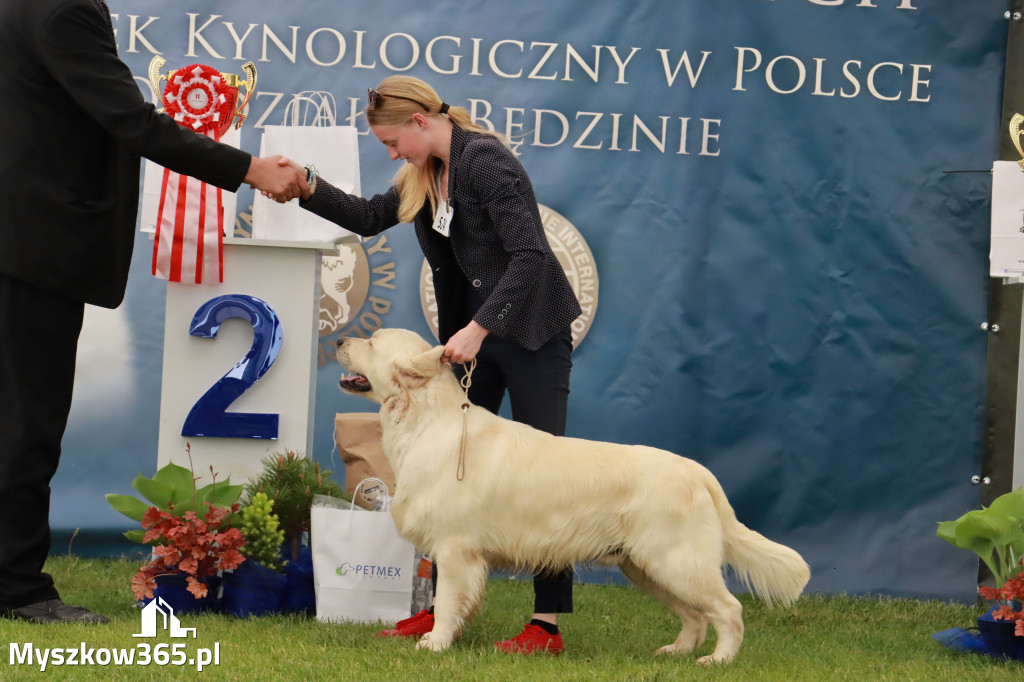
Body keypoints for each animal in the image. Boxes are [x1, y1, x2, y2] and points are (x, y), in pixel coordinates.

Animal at [335, 327, 806, 659]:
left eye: (372, 341)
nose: (338, 339)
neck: (427, 420)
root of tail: (698, 470)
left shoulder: (455, 549)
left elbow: (448, 600)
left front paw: (435, 643)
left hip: (676, 561)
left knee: (729, 611)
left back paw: (718, 661)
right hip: (647, 567)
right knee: (695, 616)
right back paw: (675, 652)